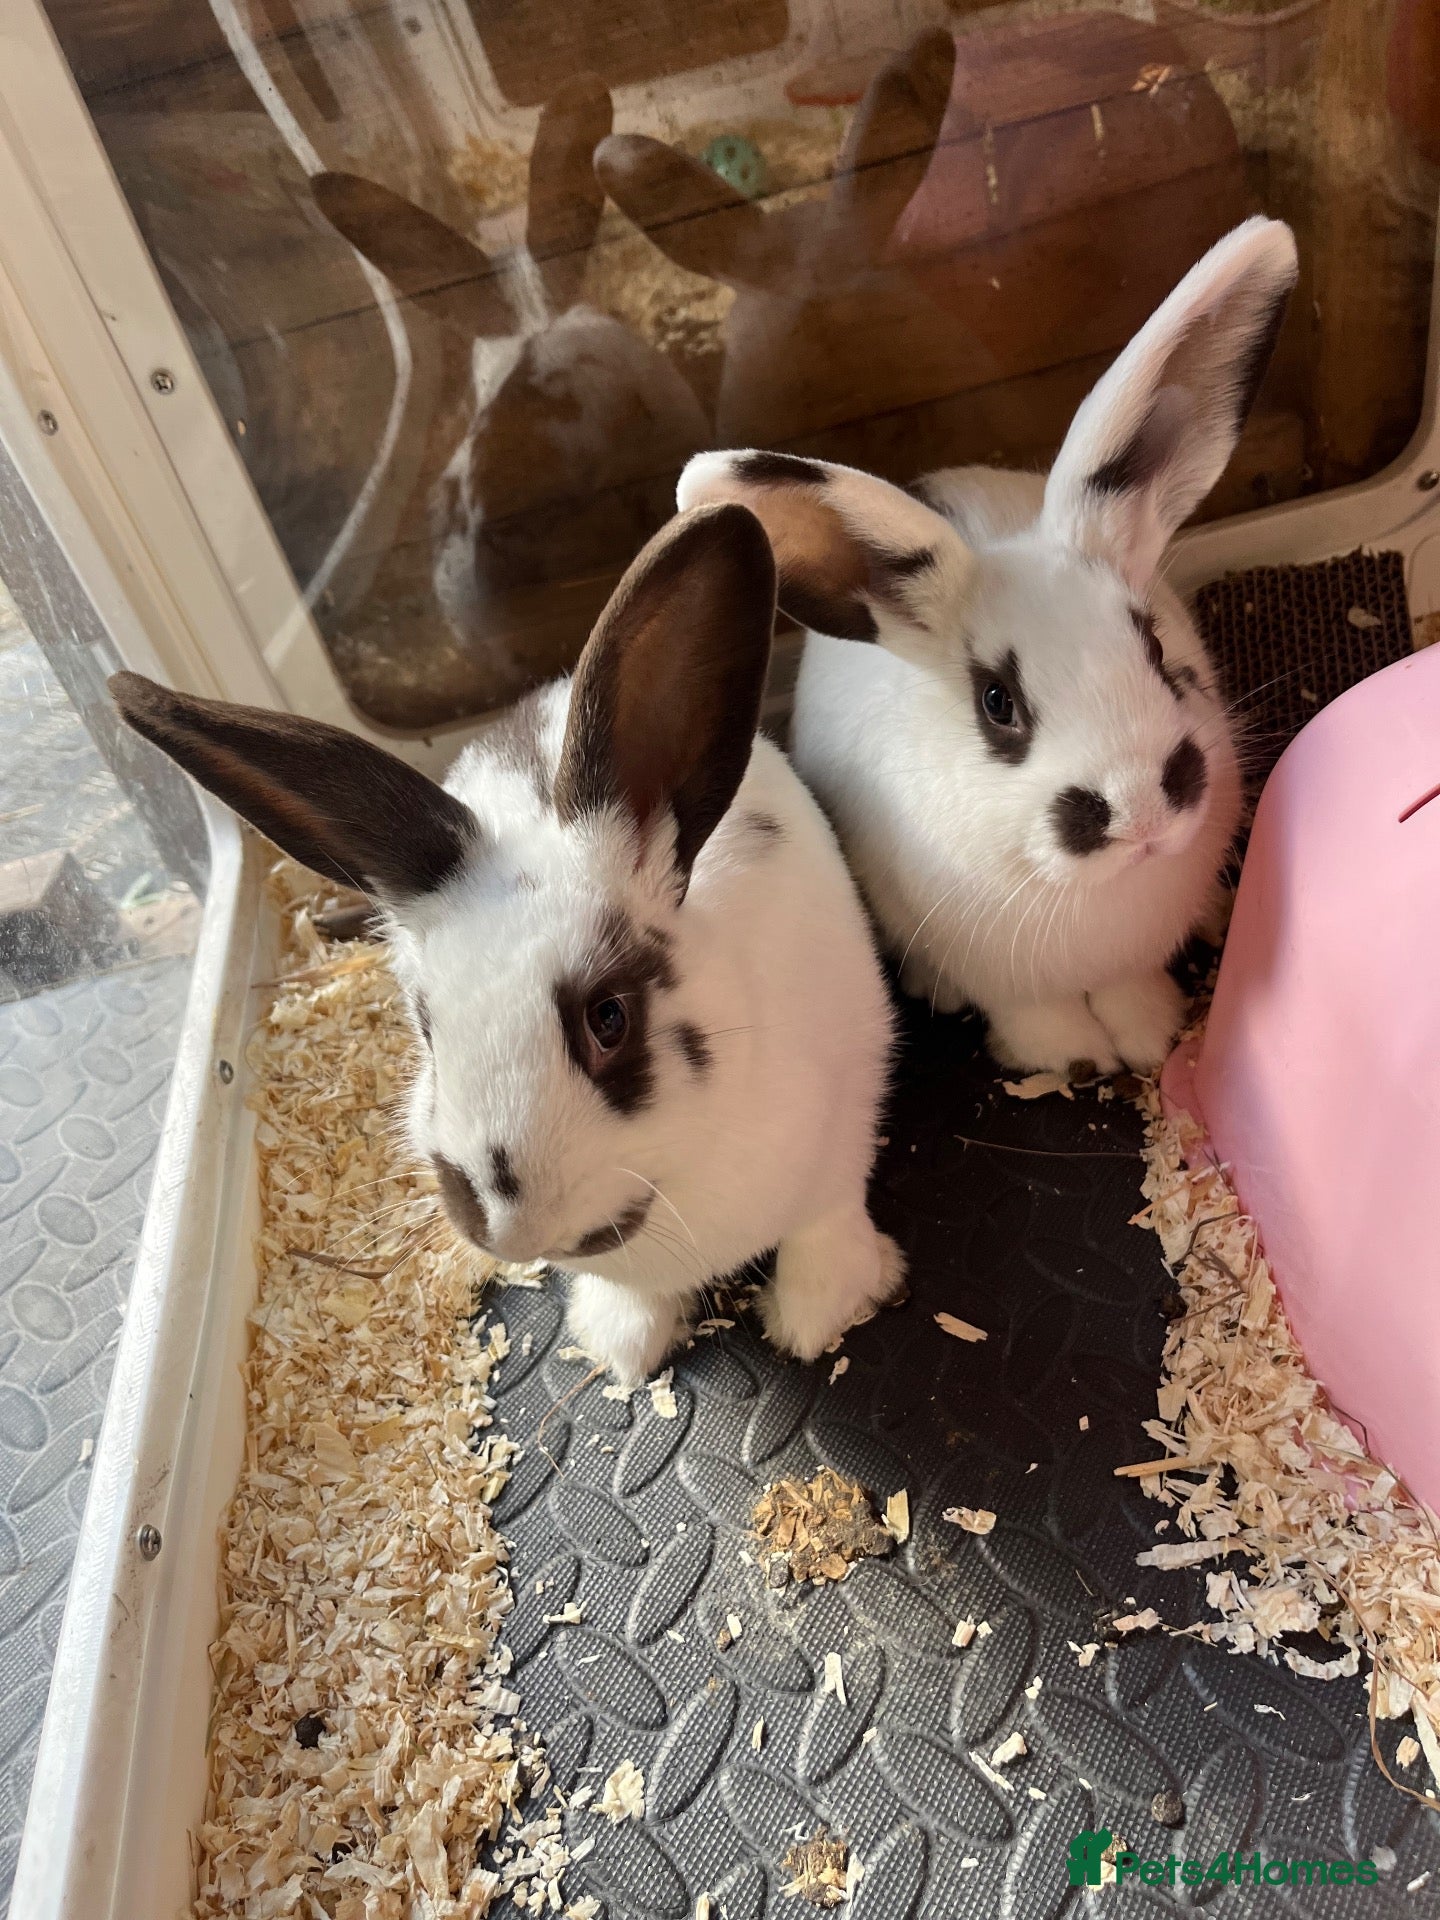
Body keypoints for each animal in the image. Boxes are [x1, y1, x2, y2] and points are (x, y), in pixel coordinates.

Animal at [108, 505, 902, 1387]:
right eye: (426, 1028)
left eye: (609, 1017)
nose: (509, 1228)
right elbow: (633, 1299)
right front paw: (620, 1343)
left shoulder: (850, 1116)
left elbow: (824, 1226)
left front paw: (818, 1316)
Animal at [678, 217, 1299, 1078]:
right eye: (997, 703)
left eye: (1152, 644)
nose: (1141, 808)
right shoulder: (996, 972)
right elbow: (1033, 1013)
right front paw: (1067, 1057)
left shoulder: (1131, 955)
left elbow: (1130, 988)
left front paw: (1147, 1035)